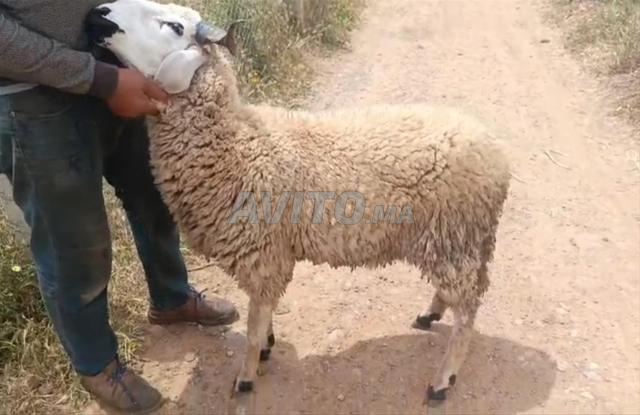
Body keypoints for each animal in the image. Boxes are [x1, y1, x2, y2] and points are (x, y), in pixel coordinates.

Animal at [88, 0, 511, 409]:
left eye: (175, 27)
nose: (100, 13)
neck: (236, 146)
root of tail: (495, 154)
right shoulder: (268, 254)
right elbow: (262, 315)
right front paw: (266, 347)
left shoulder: (264, 253)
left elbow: (254, 323)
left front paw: (247, 376)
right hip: (459, 242)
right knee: (462, 293)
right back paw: (431, 314)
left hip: (452, 237)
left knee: (468, 310)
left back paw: (443, 380)